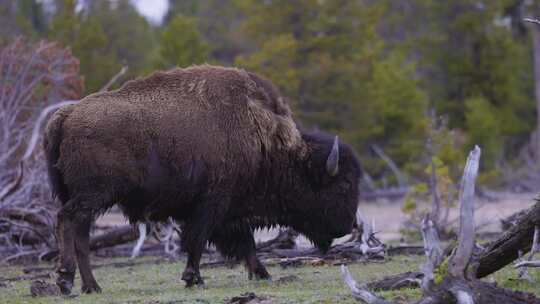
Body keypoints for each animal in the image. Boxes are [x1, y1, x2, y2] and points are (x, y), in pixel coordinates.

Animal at [43, 64, 362, 294]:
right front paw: (193, 278)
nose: (347, 226)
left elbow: (245, 243)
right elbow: (198, 240)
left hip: (88, 200)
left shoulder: (230, 212)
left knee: (81, 234)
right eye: (344, 185)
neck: (266, 137)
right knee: (67, 220)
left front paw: (262, 273)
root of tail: (67, 113)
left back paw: (91, 286)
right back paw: (66, 280)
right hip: (93, 195)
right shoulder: (211, 205)